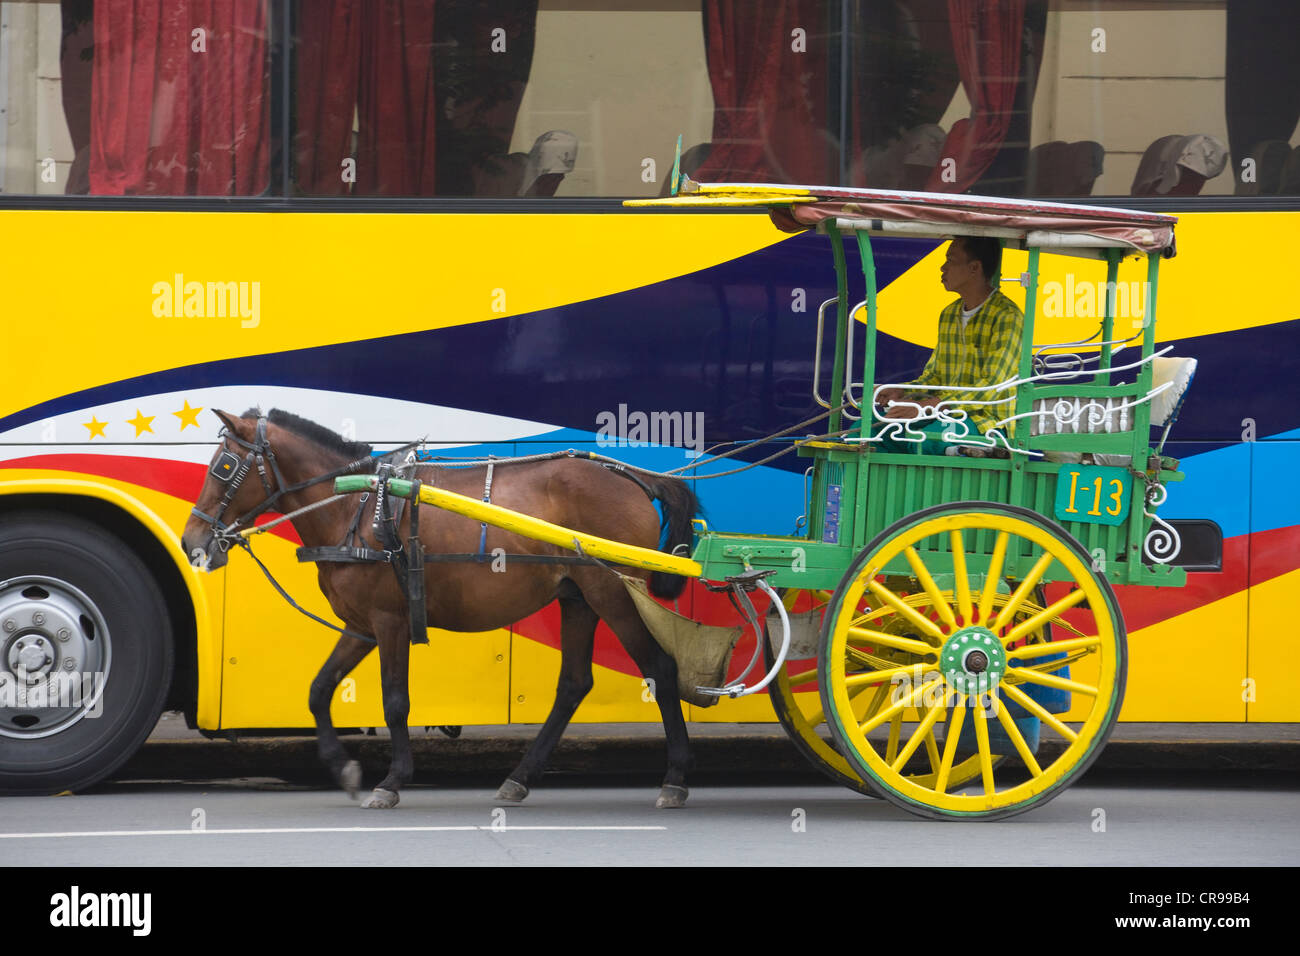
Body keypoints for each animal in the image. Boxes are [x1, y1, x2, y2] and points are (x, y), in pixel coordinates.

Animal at [183, 408, 702, 811]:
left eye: (224, 466)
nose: (192, 541)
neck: (357, 504)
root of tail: (632, 477)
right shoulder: (360, 624)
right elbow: (319, 689)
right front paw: (342, 767)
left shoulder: (389, 620)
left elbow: (394, 700)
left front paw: (392, 780)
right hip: (579, 596)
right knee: (574, 683)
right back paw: (520, 777)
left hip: (614, 592)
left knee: (660, 668)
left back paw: (675, 778)